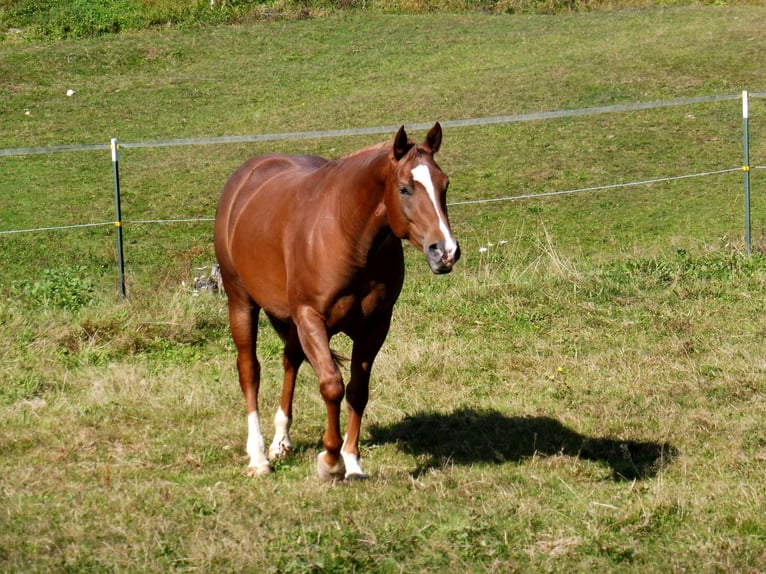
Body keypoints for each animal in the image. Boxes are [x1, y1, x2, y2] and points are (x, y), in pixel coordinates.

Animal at [213, 122, 460, 480]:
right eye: (404, 189)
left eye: (444, 185)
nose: (446, 251)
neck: (347, 234)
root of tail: (243, 179)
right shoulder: (311, 318)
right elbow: (332, 386)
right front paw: (330, 460)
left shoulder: (375, 326)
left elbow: (358, 390)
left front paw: (353, 462)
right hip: (241, 302)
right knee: (250, 371)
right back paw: (258, 457)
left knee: (290, 361)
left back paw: (281, 442)